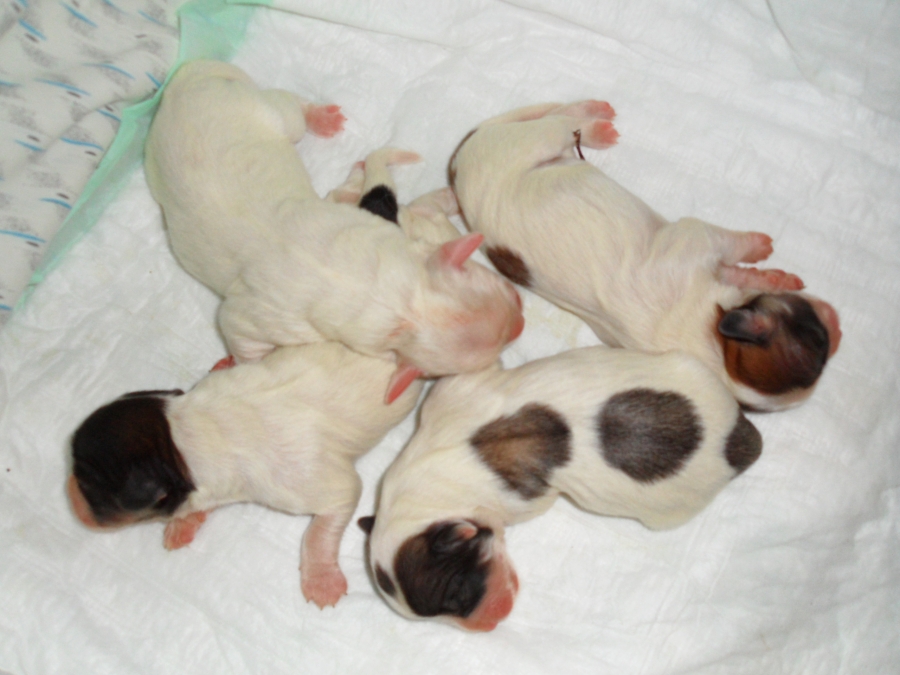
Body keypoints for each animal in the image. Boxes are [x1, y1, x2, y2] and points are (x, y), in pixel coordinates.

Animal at [67, 342, 423, 608]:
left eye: (87, 485)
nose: (67, 492)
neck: (186, 437)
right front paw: (183, 524)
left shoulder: (321, 483)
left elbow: (318, 530)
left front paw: (321, 580)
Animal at [144, 60, 523, 404]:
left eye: (507, 290)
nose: (520, 322)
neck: (386, 293)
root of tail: (183, 84)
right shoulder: (268, 314)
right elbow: (237, 327)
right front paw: (239, 362)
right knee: (287, 109)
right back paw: (318, 117)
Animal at [361, 346, 762, 631]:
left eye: (457, 594)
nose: (494, 622)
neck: (422, 496)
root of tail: (739, 443)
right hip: (688, 365)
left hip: (667, 510)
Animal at [449, 101, 841, 411]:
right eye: (819, 340)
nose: (838, 327)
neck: (716, 347)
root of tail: (458, 164)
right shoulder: (698, 238)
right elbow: (731, 244)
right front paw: (759, 246)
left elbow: (738, 274)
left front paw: (774, 276)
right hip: (531, 143)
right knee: (558, 121)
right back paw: (596, 120)